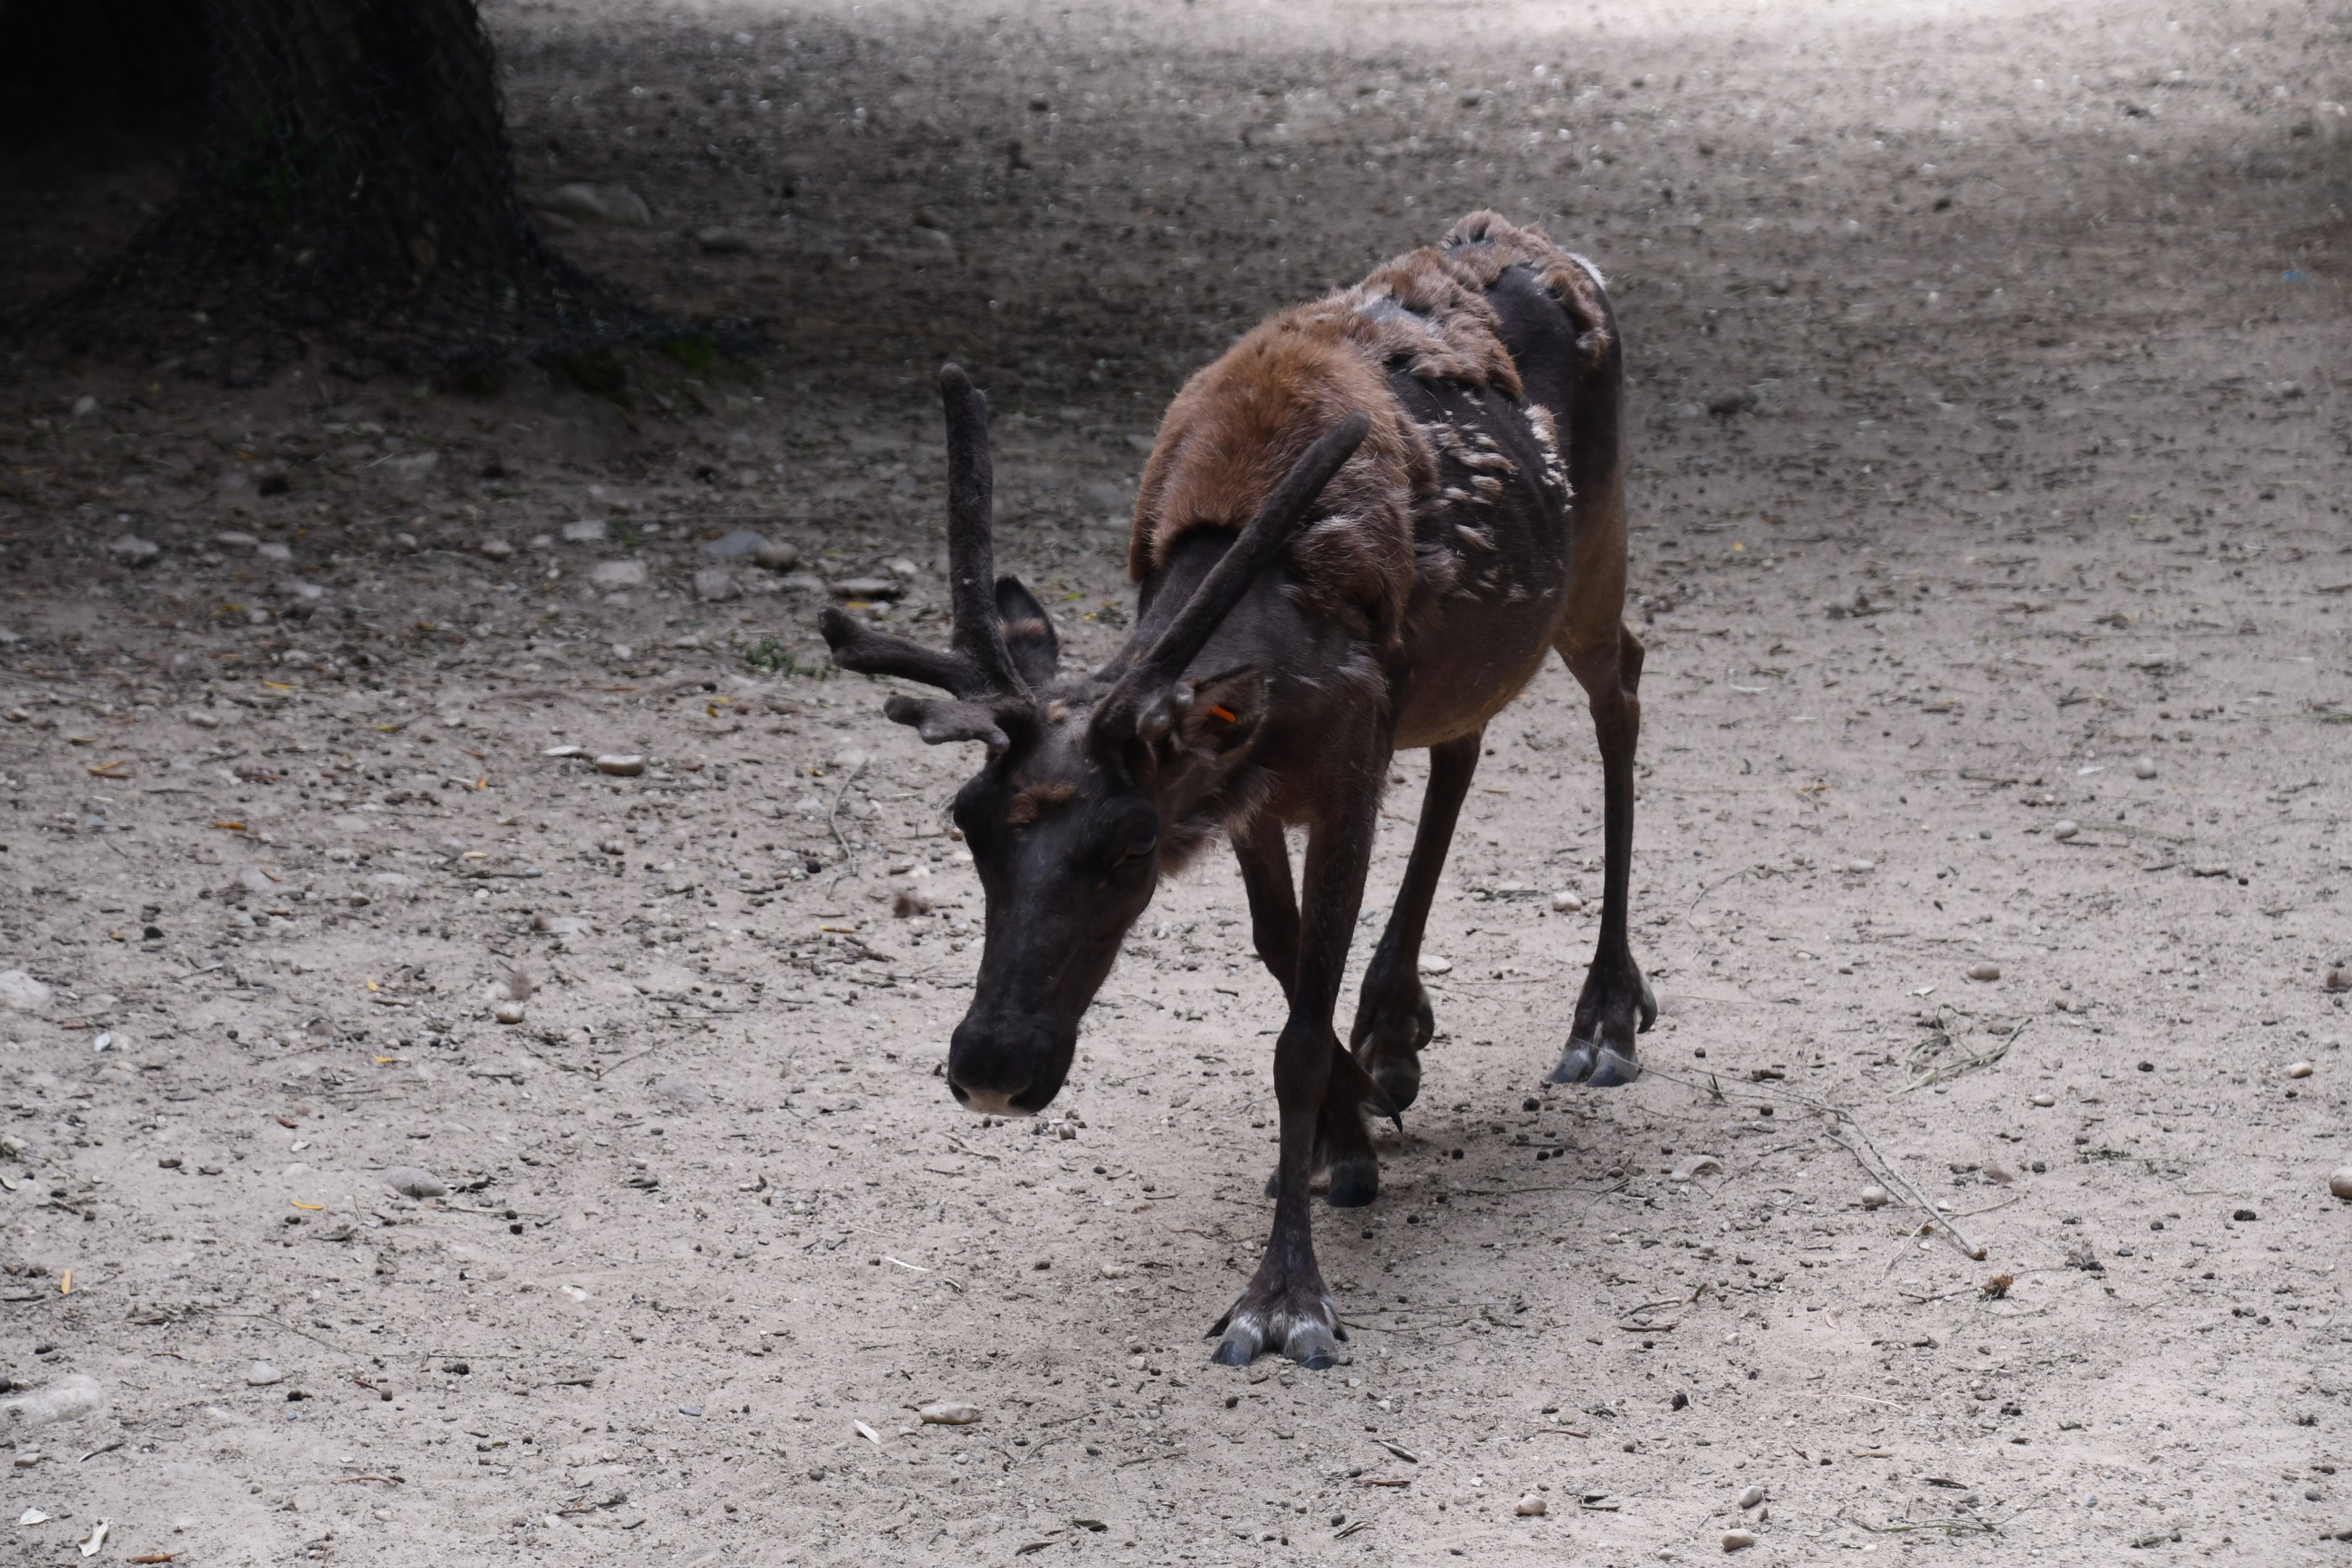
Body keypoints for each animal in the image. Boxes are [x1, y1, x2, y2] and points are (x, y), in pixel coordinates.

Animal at [819, 212, 1652, 1370]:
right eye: (968, 825)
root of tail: (1558, 249)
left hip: (1597, 549)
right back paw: (1395, 1024)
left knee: (1622, 689)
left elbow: (1297, 1034)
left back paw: (1605, 1017)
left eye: (1129, 846)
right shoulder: (1247, 787)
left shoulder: (1343, 767)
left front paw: (1285, 1297)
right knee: (1467, 742)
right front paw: (1349, 1137)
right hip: (1464, 658)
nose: (989, 1066)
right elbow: (1280, 956)